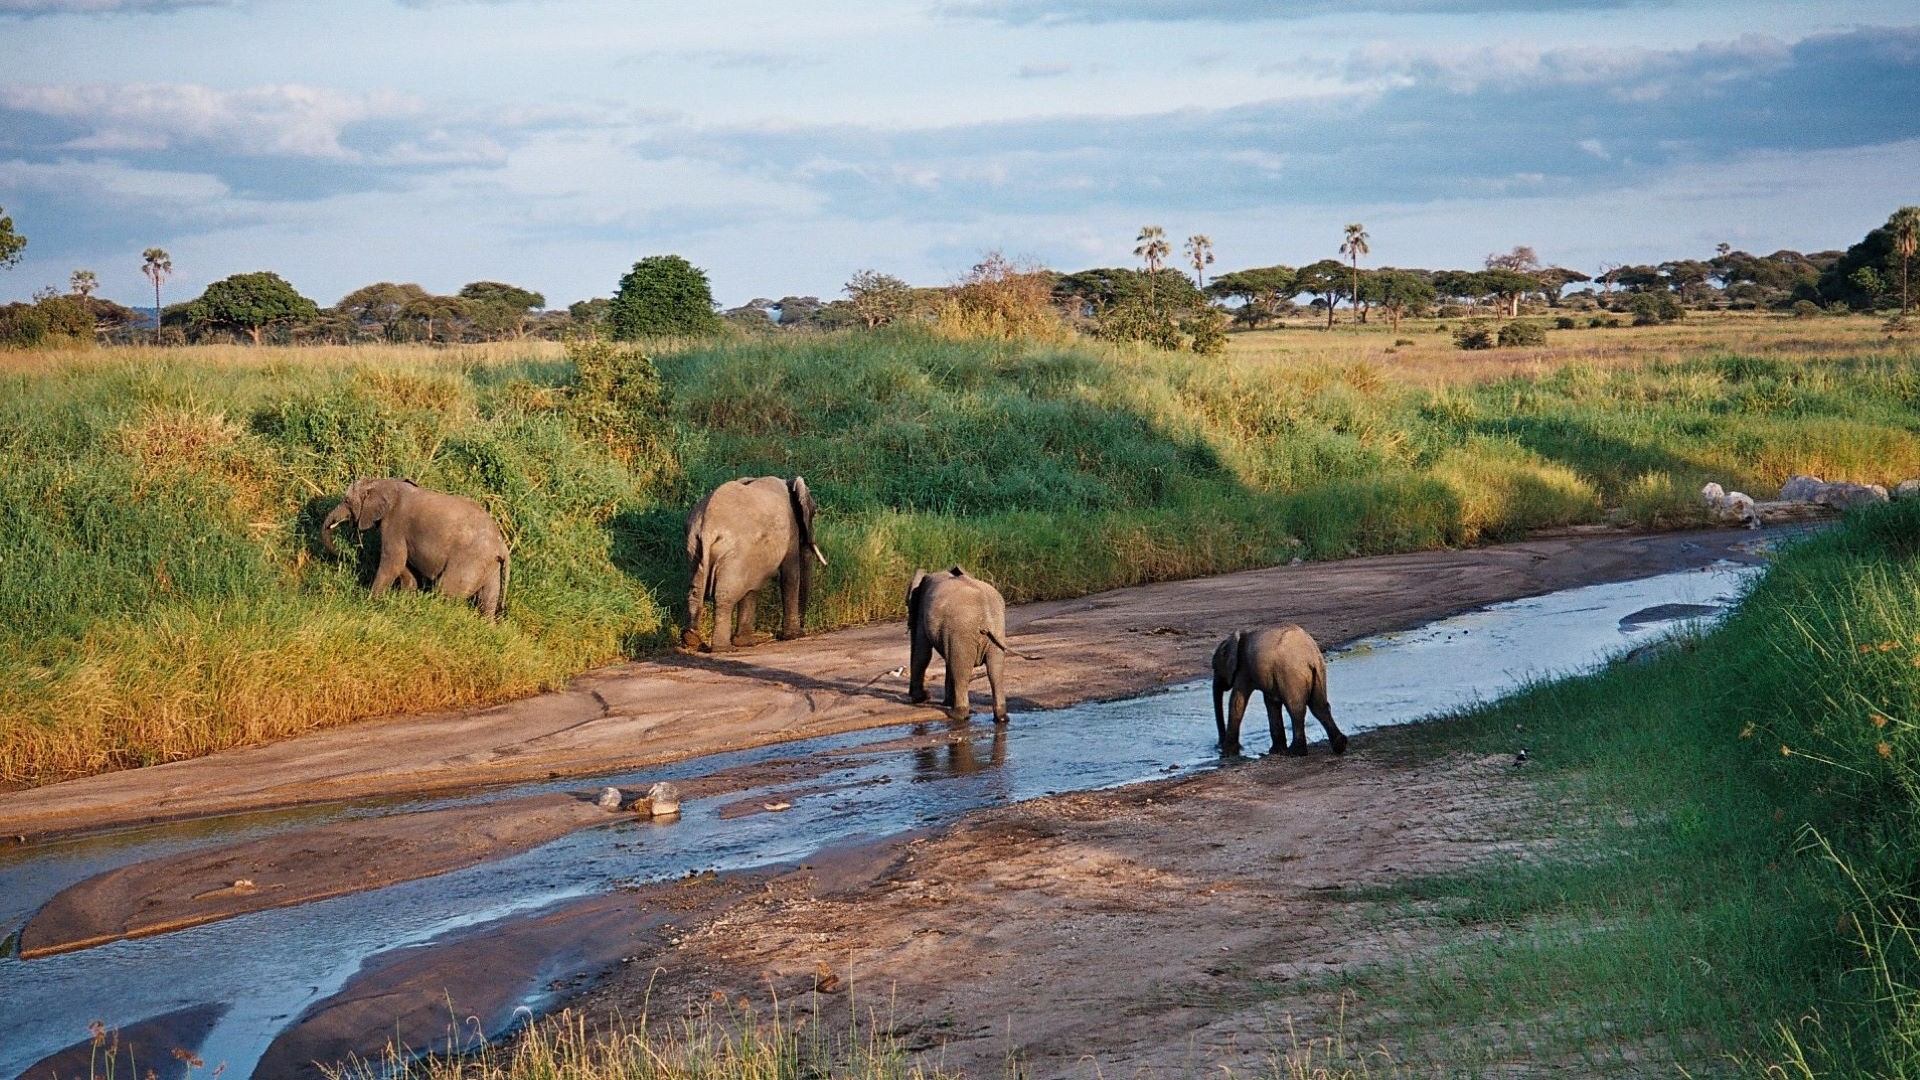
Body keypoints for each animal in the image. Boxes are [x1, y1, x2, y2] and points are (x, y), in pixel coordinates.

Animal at [318, 476, 510, 618]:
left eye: (346, 501)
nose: (340, 553)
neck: (386, 483)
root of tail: (502, 547)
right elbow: (405, 566)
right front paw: (405, 601)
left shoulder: (395, 524)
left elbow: (394, 562)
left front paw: (369, 601)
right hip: (490, 565)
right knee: (488, 600)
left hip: (470, 560)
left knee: (446, 590)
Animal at [683, 472, 825, 645]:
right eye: (814, 512)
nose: (804, 629)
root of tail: (708, 527)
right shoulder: (791, 528)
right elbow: (790, 575)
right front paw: (794, 636)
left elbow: (751, 586)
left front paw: (744, 642)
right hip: (733, 551)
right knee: (724, 594)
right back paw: (723, 647)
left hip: (694, 546)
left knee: (695, 589)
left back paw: (691, 638)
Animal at [906, 564, 1013, 722]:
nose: (926, 696)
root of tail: (985, 614)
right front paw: (938, 700)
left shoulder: (922, 612)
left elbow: (922, 653)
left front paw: (921, 699)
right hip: (996, 630)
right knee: (995, 670)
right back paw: (1001, 718)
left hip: (963, 630)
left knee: (961, 671)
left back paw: (956, 714)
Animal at [1213, 626, 1351, 753]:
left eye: (1214, 668)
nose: (1218, 746)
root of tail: (1309, 656)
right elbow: (1271, 703)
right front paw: (1276, 751)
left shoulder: (1244, 669)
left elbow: (1237, 702)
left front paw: (1228, 752)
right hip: (1319, 670)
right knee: (1319, 706)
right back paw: (1340, 745)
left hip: (1290, 674)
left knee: (1296, 709)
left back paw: (1295, 752)